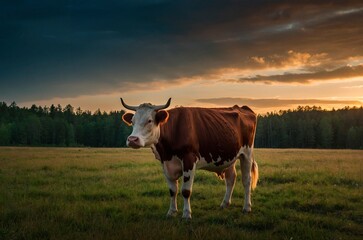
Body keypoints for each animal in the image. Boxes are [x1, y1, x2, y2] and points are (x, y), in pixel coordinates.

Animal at [121, 98, 258, 219]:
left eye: (149, 120)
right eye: (132, 121)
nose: (132, 139)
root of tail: (243, 108)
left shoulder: (189, 160)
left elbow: (186, 191)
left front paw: (186, 214)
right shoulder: (165, 163)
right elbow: (172, 190)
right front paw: (171, 212)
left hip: (246, 153)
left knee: (246, 180)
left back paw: (247, 207)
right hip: (229, 156)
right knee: (231, 179)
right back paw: (224, 204)